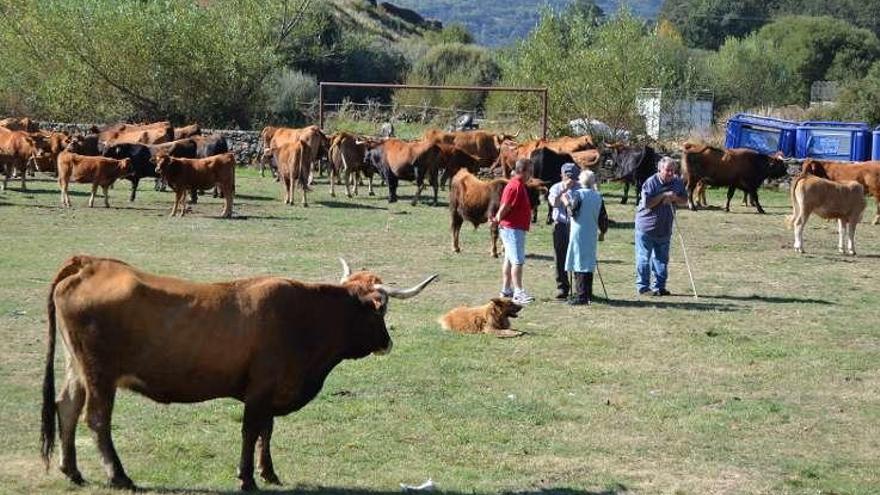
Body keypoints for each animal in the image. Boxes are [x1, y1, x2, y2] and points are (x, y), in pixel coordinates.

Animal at [42, 256, 440, 492]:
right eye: (380, 310)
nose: (387, 343)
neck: (306, 317)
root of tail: (89, 264)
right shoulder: (260, 389)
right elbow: (251, 430)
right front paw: (247, 477)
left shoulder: (270, 390)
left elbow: (266, 429)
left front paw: (269, 472)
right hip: (100, 374)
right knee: (97, 419)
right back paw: (119, 476)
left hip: (77, 368)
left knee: (68, 407)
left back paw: (72, 471)